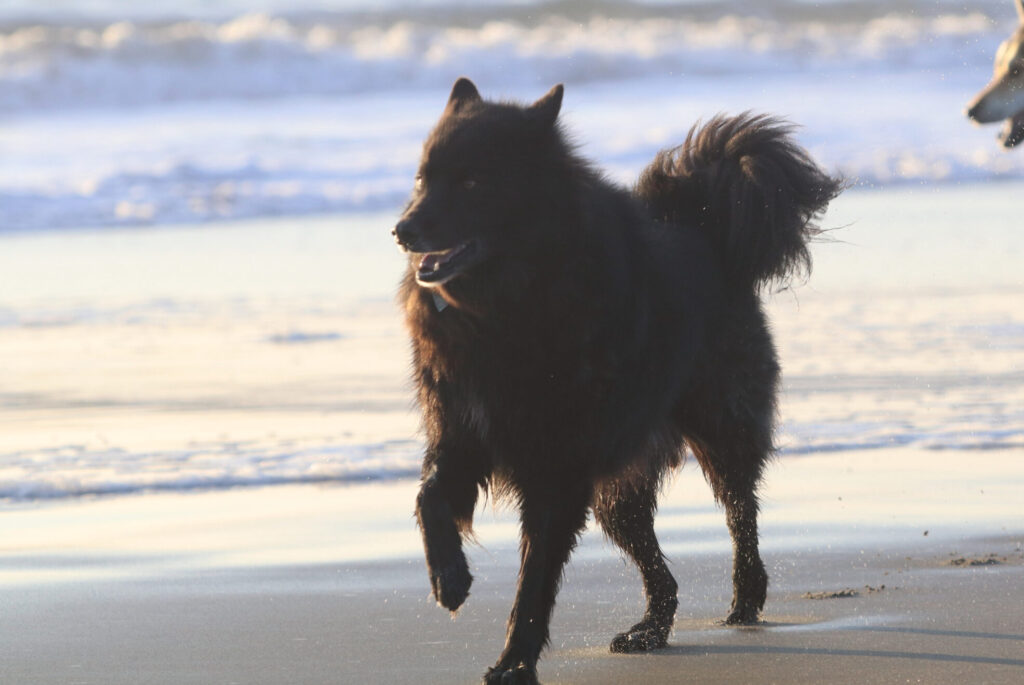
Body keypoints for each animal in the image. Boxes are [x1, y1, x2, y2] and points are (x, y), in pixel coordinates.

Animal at [393, 77, 839, 679]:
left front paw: (515, 661)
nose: (402, 230)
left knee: (741, 514)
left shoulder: (557, 469)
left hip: (719, 432)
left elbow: (534, 581)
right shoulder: (462, 431)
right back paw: (650, 630)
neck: (506, 305)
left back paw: (746, 599)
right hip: (616, 492)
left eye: (471, 181)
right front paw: (450, 579)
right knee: (663, 575)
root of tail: (702, 229)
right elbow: (429, 499)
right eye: (422, 178)